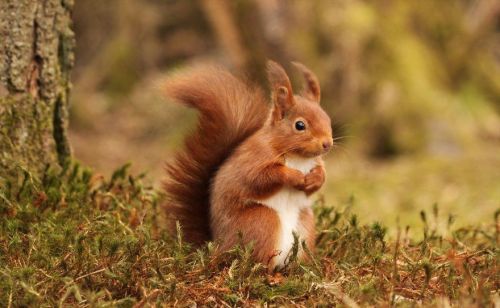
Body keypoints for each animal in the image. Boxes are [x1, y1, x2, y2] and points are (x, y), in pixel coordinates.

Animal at [164, 61, 334, 268]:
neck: (298, 157)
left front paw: (315, 179)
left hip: (305, 225)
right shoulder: (253, 160)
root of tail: (218, 246)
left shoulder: (314, 162)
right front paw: (294, 176)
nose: (327, 143)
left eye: (327, 119)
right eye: (300, 125)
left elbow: (319, 176)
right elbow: (260, 178)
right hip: (262, 221)